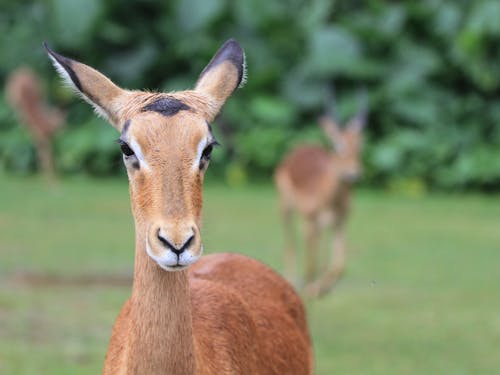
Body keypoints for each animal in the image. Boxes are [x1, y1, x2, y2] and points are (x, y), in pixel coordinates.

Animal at [274, 86, 368, 298]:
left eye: (360, 145)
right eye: (338, 145)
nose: (354, 174)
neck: (330, 198)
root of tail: (300, 147)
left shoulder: (341, 223)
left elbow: (340, 265)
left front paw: (320, 290)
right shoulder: (309, 223)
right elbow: (311, 265)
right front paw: (309, 290)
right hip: (287, 210)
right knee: (291, 245)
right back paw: (293, 281)